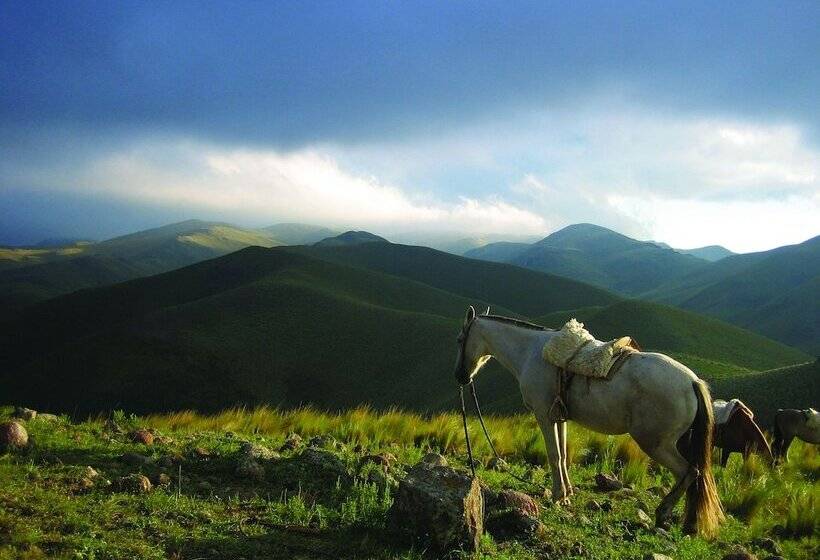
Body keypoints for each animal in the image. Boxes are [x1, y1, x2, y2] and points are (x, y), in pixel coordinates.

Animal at [453, 306, 724, 536]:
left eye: (459, 339)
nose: (460, 377)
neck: (530, 352)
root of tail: (692, 382)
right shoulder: (559, 417)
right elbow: (563, 455)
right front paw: (567, 493)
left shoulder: (543, 415)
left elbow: (553, 455)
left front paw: (557, 496)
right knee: (695, 475)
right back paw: (689, 522)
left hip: (656, 443)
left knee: (689, 471)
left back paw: (664, 512)